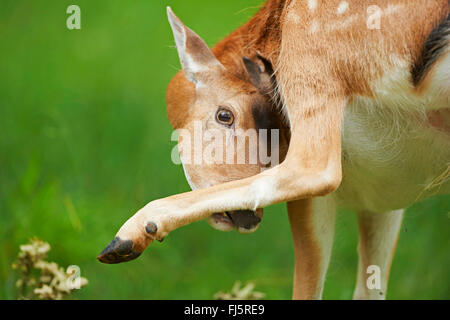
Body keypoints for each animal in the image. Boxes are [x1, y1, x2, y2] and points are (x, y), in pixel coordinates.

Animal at [99, 0, 450, 300]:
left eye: (225, 114)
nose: (248, 218)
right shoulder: (387, 191)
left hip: (309, 46)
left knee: (314, 169)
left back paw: (126, 237)